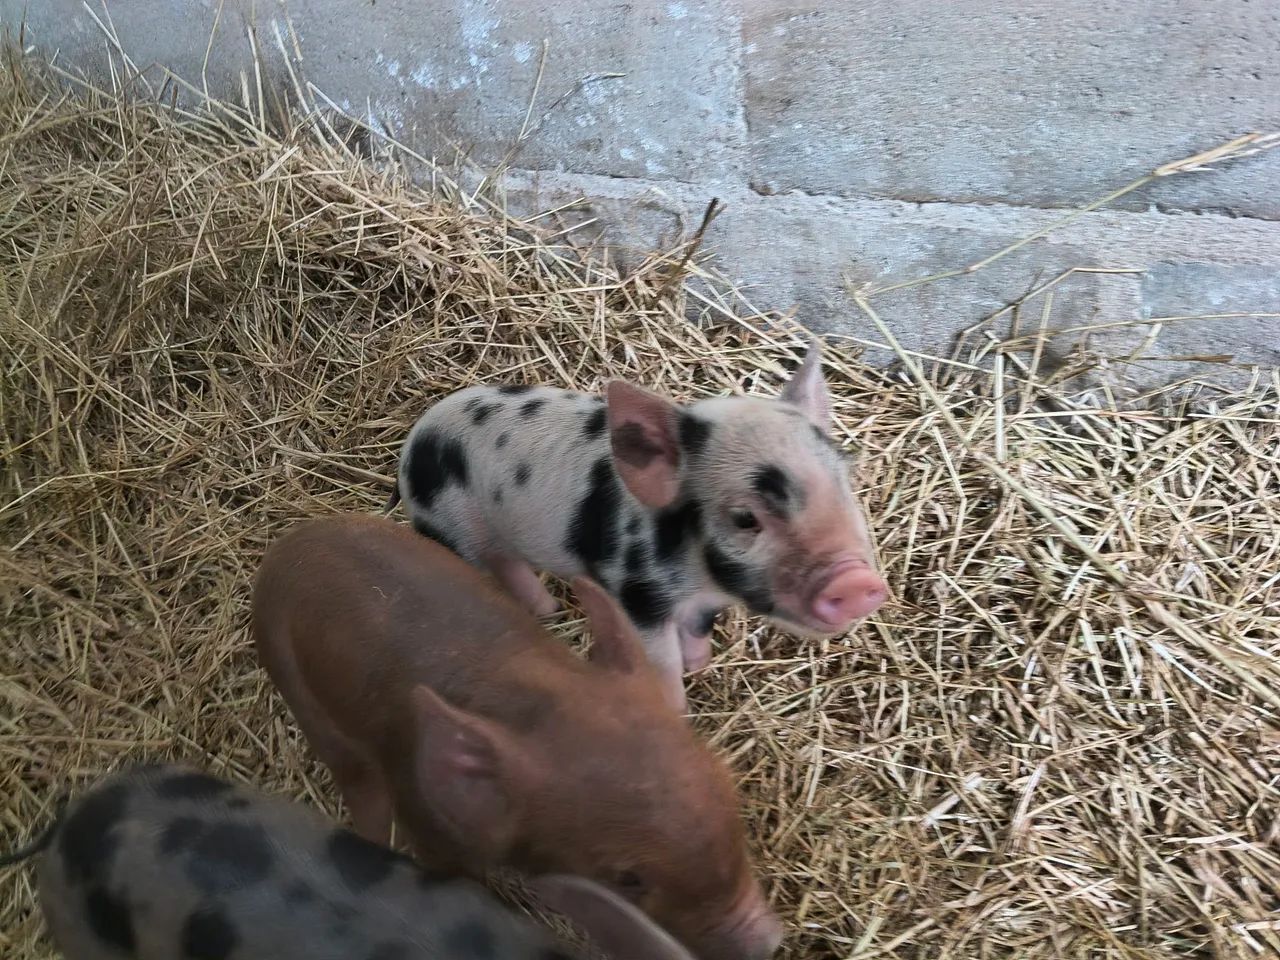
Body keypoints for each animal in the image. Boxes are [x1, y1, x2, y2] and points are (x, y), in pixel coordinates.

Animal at [251, 514, 783, 960]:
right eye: (628, 878)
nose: (767, 940)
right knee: (356, 778)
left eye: (728, 790)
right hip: (295, 681)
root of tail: (288, 543)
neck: (535, 703)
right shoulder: (427, 819)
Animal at [386, 341, 888, 708]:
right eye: (746, 517)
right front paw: (676, 710)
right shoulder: (639, 594)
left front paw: (700, 665)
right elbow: (658, 662)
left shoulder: (702, 602)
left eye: (845, 485)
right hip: (447, 526)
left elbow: (698, 630)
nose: (858, 582)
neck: (698, 579)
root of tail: (412, 444)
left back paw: (551, 611)